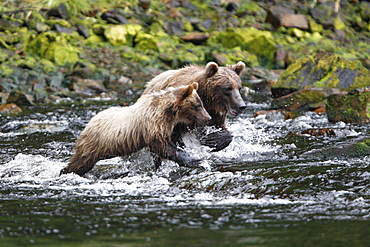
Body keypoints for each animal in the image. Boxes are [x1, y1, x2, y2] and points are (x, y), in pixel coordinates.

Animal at [60, 82, 211, 176]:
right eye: (198, 105)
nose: (208, 117)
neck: (168, 112)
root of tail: (89, 123)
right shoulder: (152, 123)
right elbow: (163, 146)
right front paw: (196, 160)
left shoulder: (167, 126)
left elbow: (167, 146)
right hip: (94, 144)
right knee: (81, 162)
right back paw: (65, 171)